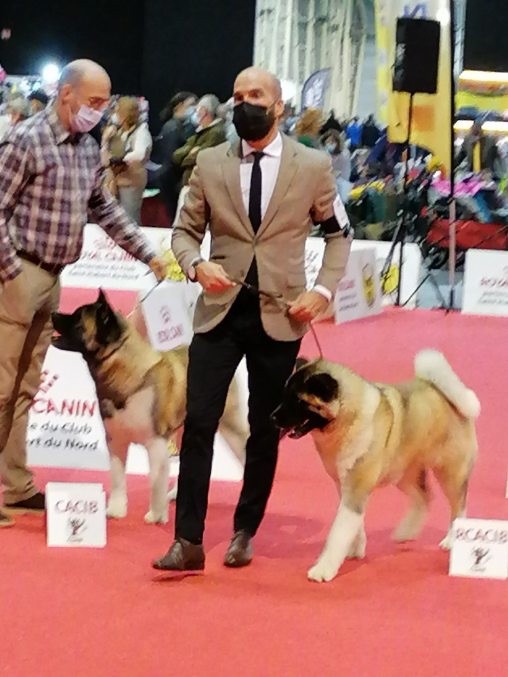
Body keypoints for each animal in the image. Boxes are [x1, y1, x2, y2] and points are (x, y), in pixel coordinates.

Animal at [52, 290, 248, 524]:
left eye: (77, 319)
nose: (53, 313)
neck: (123, 368)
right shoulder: (116, 441)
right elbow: (117, 477)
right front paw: (116, 509)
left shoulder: (156, 443)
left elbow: (155, 479)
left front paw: (156, 514)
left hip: (231, 425)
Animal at [272, 350, 480, 583]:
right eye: (285, 395)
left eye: (298, 401)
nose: (272, 417)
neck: (348, 419)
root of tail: (444, 394)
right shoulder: (346, 487)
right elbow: (353, 525)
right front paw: (355, 549)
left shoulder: (355, 489)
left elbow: (338, 533)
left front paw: (323, 570)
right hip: (402, 472)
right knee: (424, 497)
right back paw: (405, 532)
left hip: (449, 472)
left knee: (458, 506)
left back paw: (451, 541)